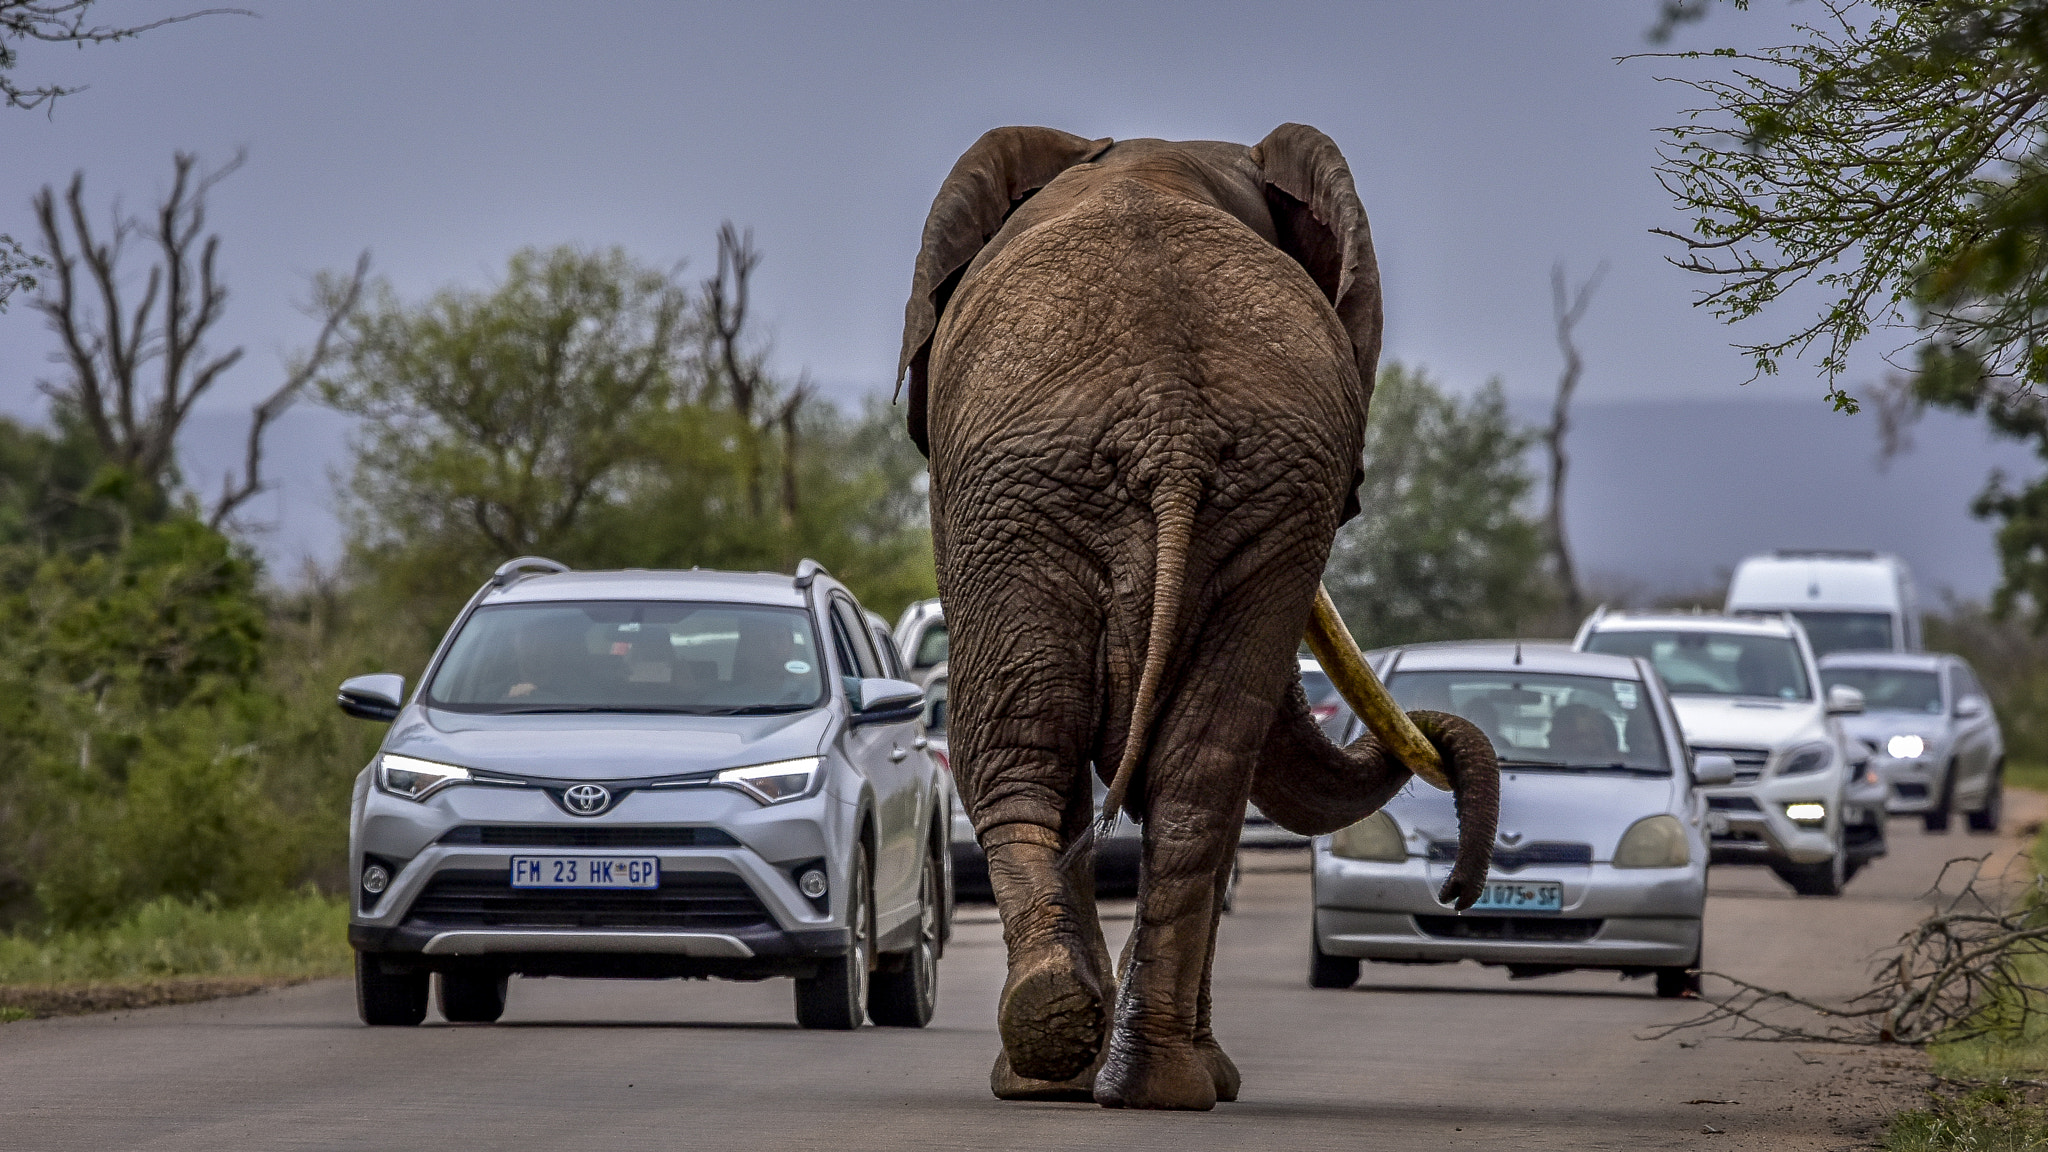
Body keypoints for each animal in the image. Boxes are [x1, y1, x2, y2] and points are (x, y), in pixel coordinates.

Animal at [897, 123, 1507, 1106]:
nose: (1455, 895)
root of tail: (1169, 420)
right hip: (1106, 493)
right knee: (1175, 772)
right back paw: (1114, 1066)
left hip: (1064, 495)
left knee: (1046, 752)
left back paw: (1096, 1071)